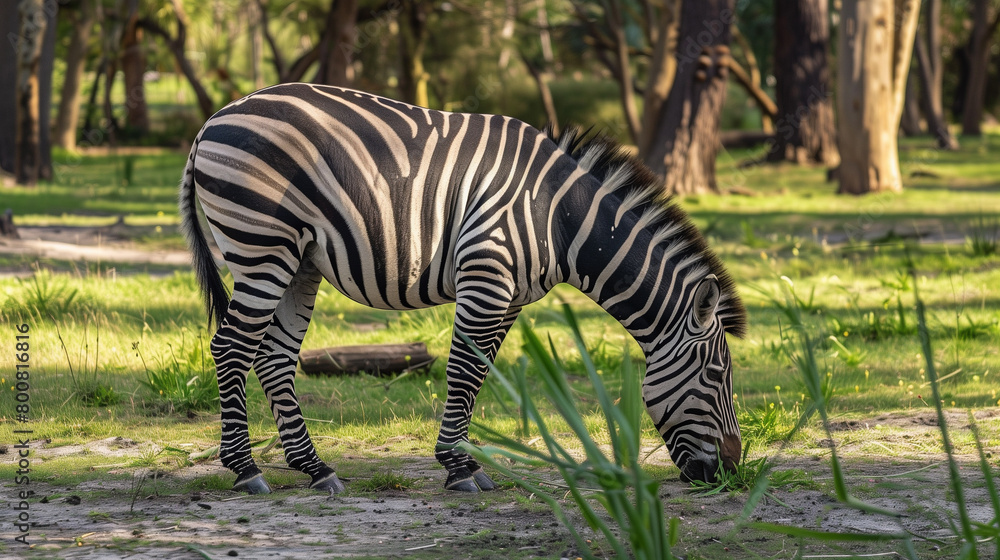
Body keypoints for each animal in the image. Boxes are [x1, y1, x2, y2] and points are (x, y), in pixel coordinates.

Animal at [180, 83, 747, 494]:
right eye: (716, 374)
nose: (731, 469)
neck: (560, 217)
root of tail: (215, 118)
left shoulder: (510, 295)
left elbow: (479, 371)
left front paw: (463, 463)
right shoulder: (486, 275)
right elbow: (464, 372)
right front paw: (458, 468)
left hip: (299, 261)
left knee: (274, 356)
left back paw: (316, 469)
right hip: (262, 245)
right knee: (231, 348)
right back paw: (246, 469)